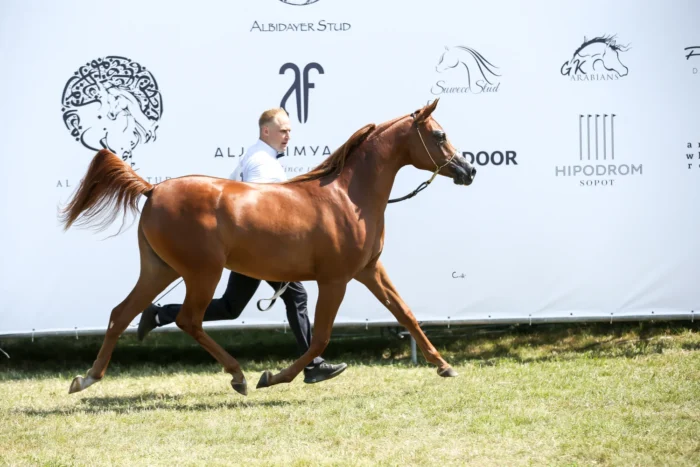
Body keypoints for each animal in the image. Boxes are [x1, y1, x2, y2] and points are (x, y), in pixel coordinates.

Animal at [59, 99, 477, 396]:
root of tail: (152, 189)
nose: (469, 170)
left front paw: (444, 365)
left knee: (123, 313)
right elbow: (320, 335)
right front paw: (275, 376)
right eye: (439, 135)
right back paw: (239, 376)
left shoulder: (369, 270)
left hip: (160, 269)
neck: (348, 196)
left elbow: (405, 313)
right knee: (187, 319)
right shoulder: (336, 279)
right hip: (201, 272)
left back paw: (87, 377)